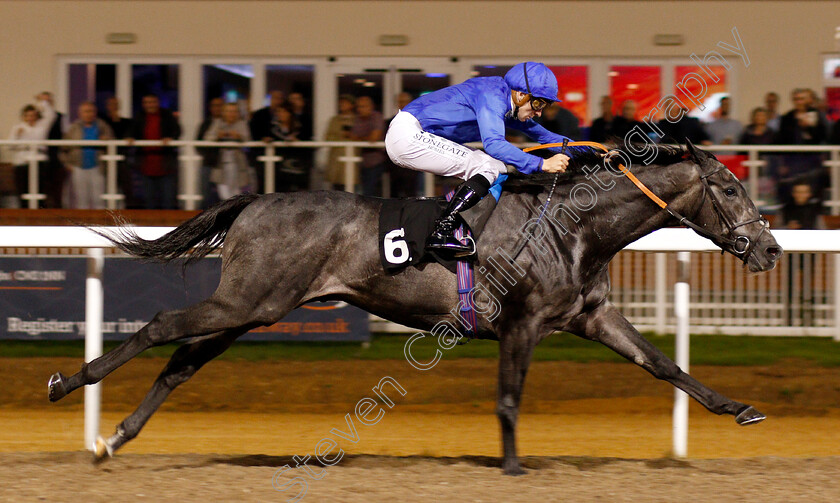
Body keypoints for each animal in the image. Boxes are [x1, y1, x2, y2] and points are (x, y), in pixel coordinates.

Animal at [46, 140, 780, 474]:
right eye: (730, 190)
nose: (771, 249)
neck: (575, 225)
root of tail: (256, 199)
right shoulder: (522, 322)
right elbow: (508, 397)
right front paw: (513, 466)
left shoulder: (590, 315)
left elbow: (663, 364)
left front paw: (740, 407)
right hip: (247, 297)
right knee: (161, 326)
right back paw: (67, 384)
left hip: (253, 307)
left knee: (181, 364)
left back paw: (115, 437)